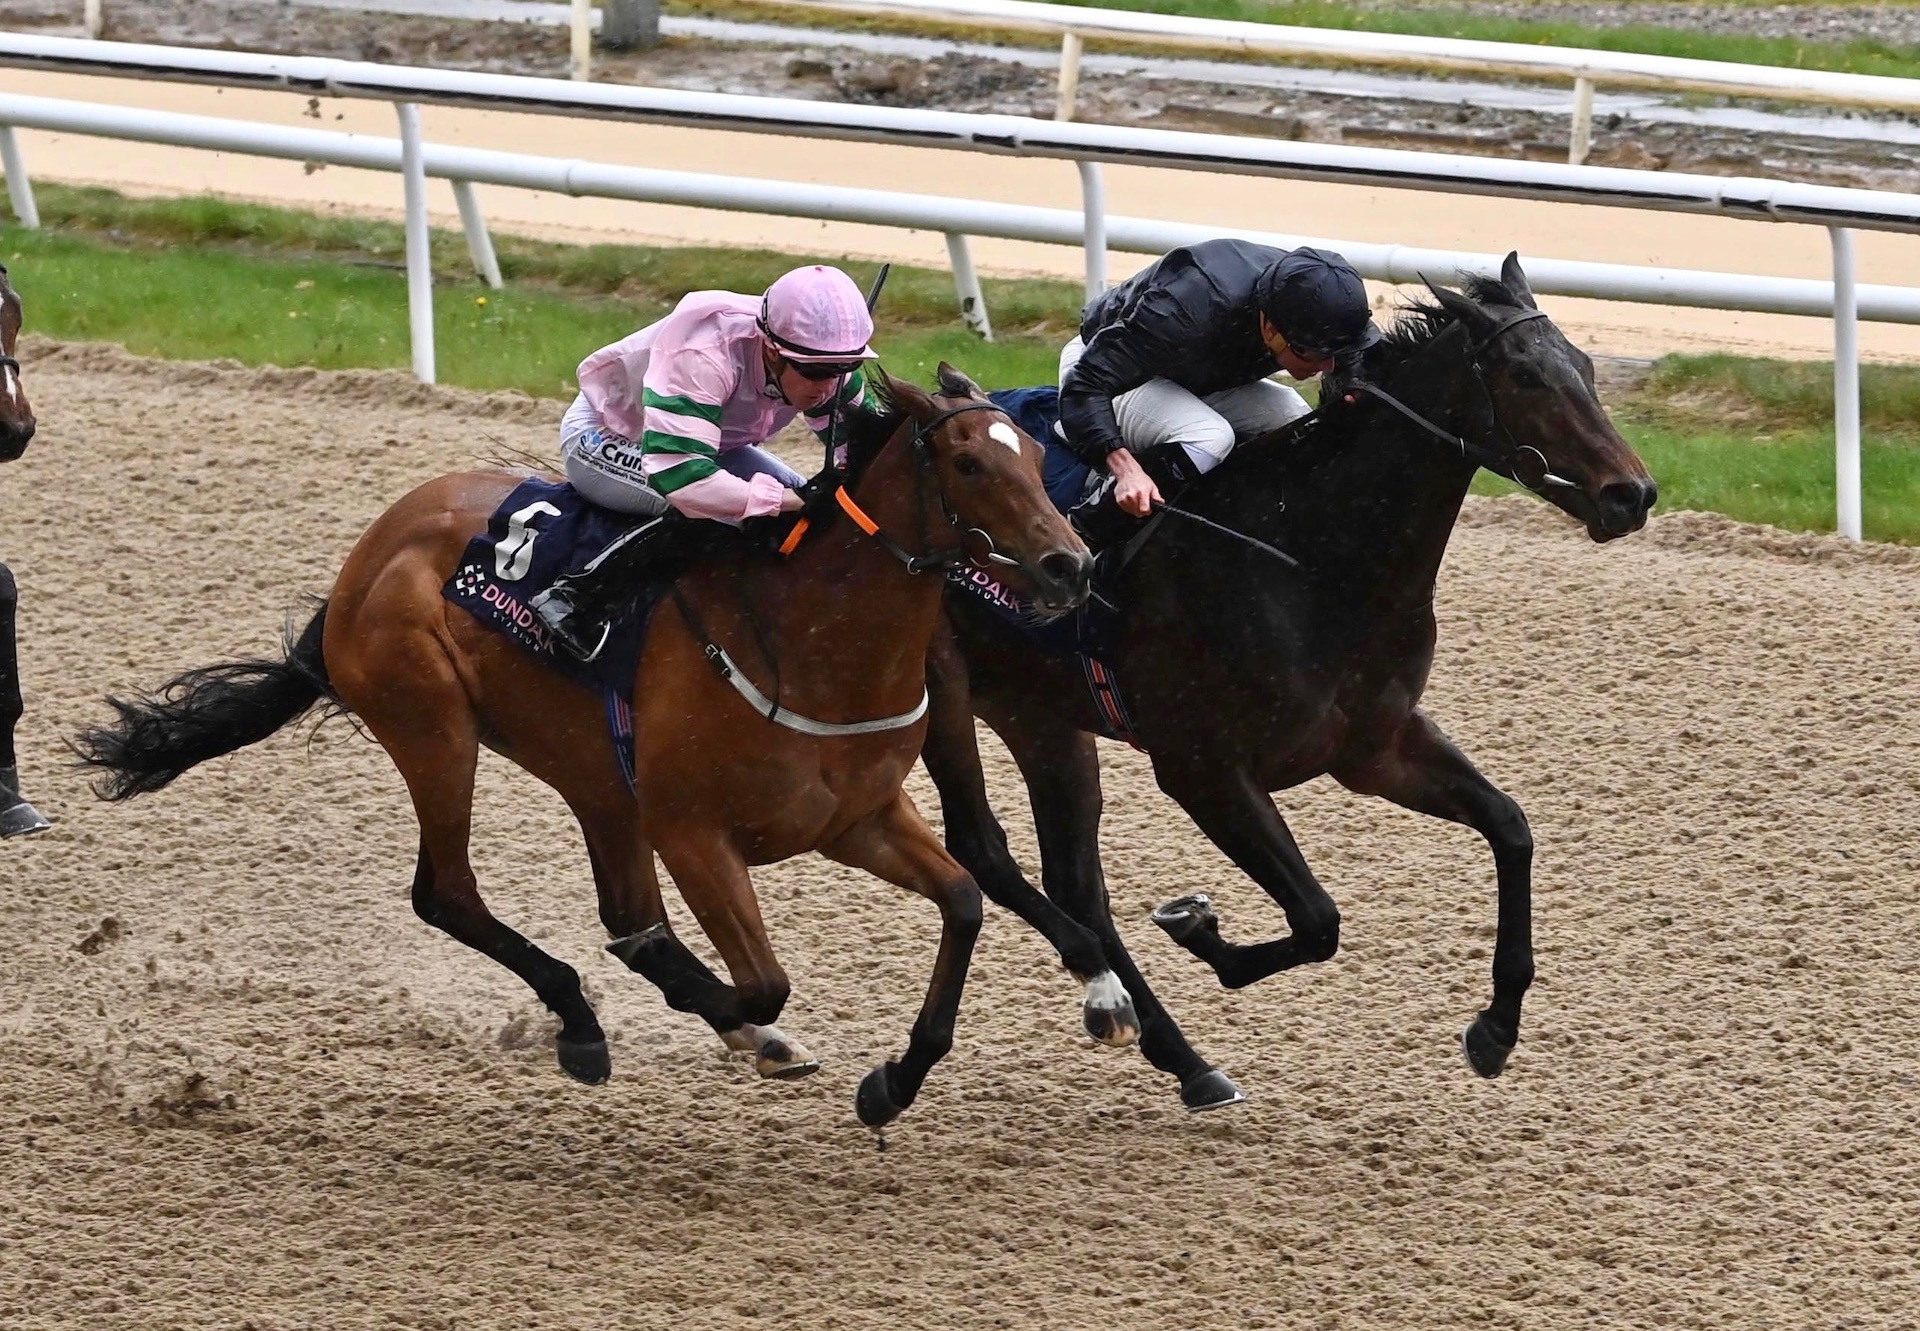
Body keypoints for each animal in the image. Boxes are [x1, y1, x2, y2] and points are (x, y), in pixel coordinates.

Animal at [78, 361, 1121, 1121]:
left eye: (1037, 454)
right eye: (970, 465)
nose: (1071, 564)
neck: (805, 636)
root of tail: (369, 553)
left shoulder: (856, 819)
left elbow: (963, 903)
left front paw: (893, 1080)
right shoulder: (695, 833)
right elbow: (763, 984)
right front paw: (743, 1025)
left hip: (594, 776)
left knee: (622, 912)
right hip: (433, 727)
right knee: (448, 892)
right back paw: (582, 1021)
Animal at [913, 253, 1651, 1106]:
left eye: (1586, 368)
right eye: (1526, 377)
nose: (1633, 494)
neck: (1310, 557)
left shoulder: (1374, 746)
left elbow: (1511, 826)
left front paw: (1495, 1029)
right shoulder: (1204, 770)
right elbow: (1318, 918)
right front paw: (1197, 925)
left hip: (1040, 712)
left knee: (1075, 882)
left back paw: (1184, 1058)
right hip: (941, 697)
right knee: (984, 848)